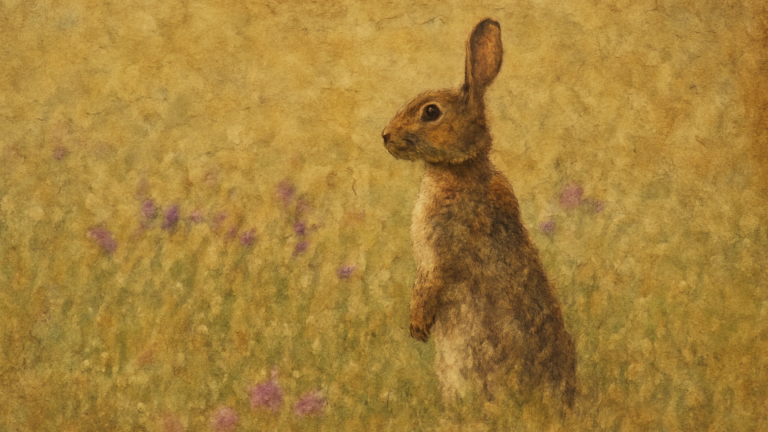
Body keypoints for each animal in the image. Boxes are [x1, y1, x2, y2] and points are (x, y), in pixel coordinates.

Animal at [381, 19, 577, 408]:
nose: (385, 136)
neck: (460, 168)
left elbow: (430, 283)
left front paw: (417, 326)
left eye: (431, 112)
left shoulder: (441, 250)